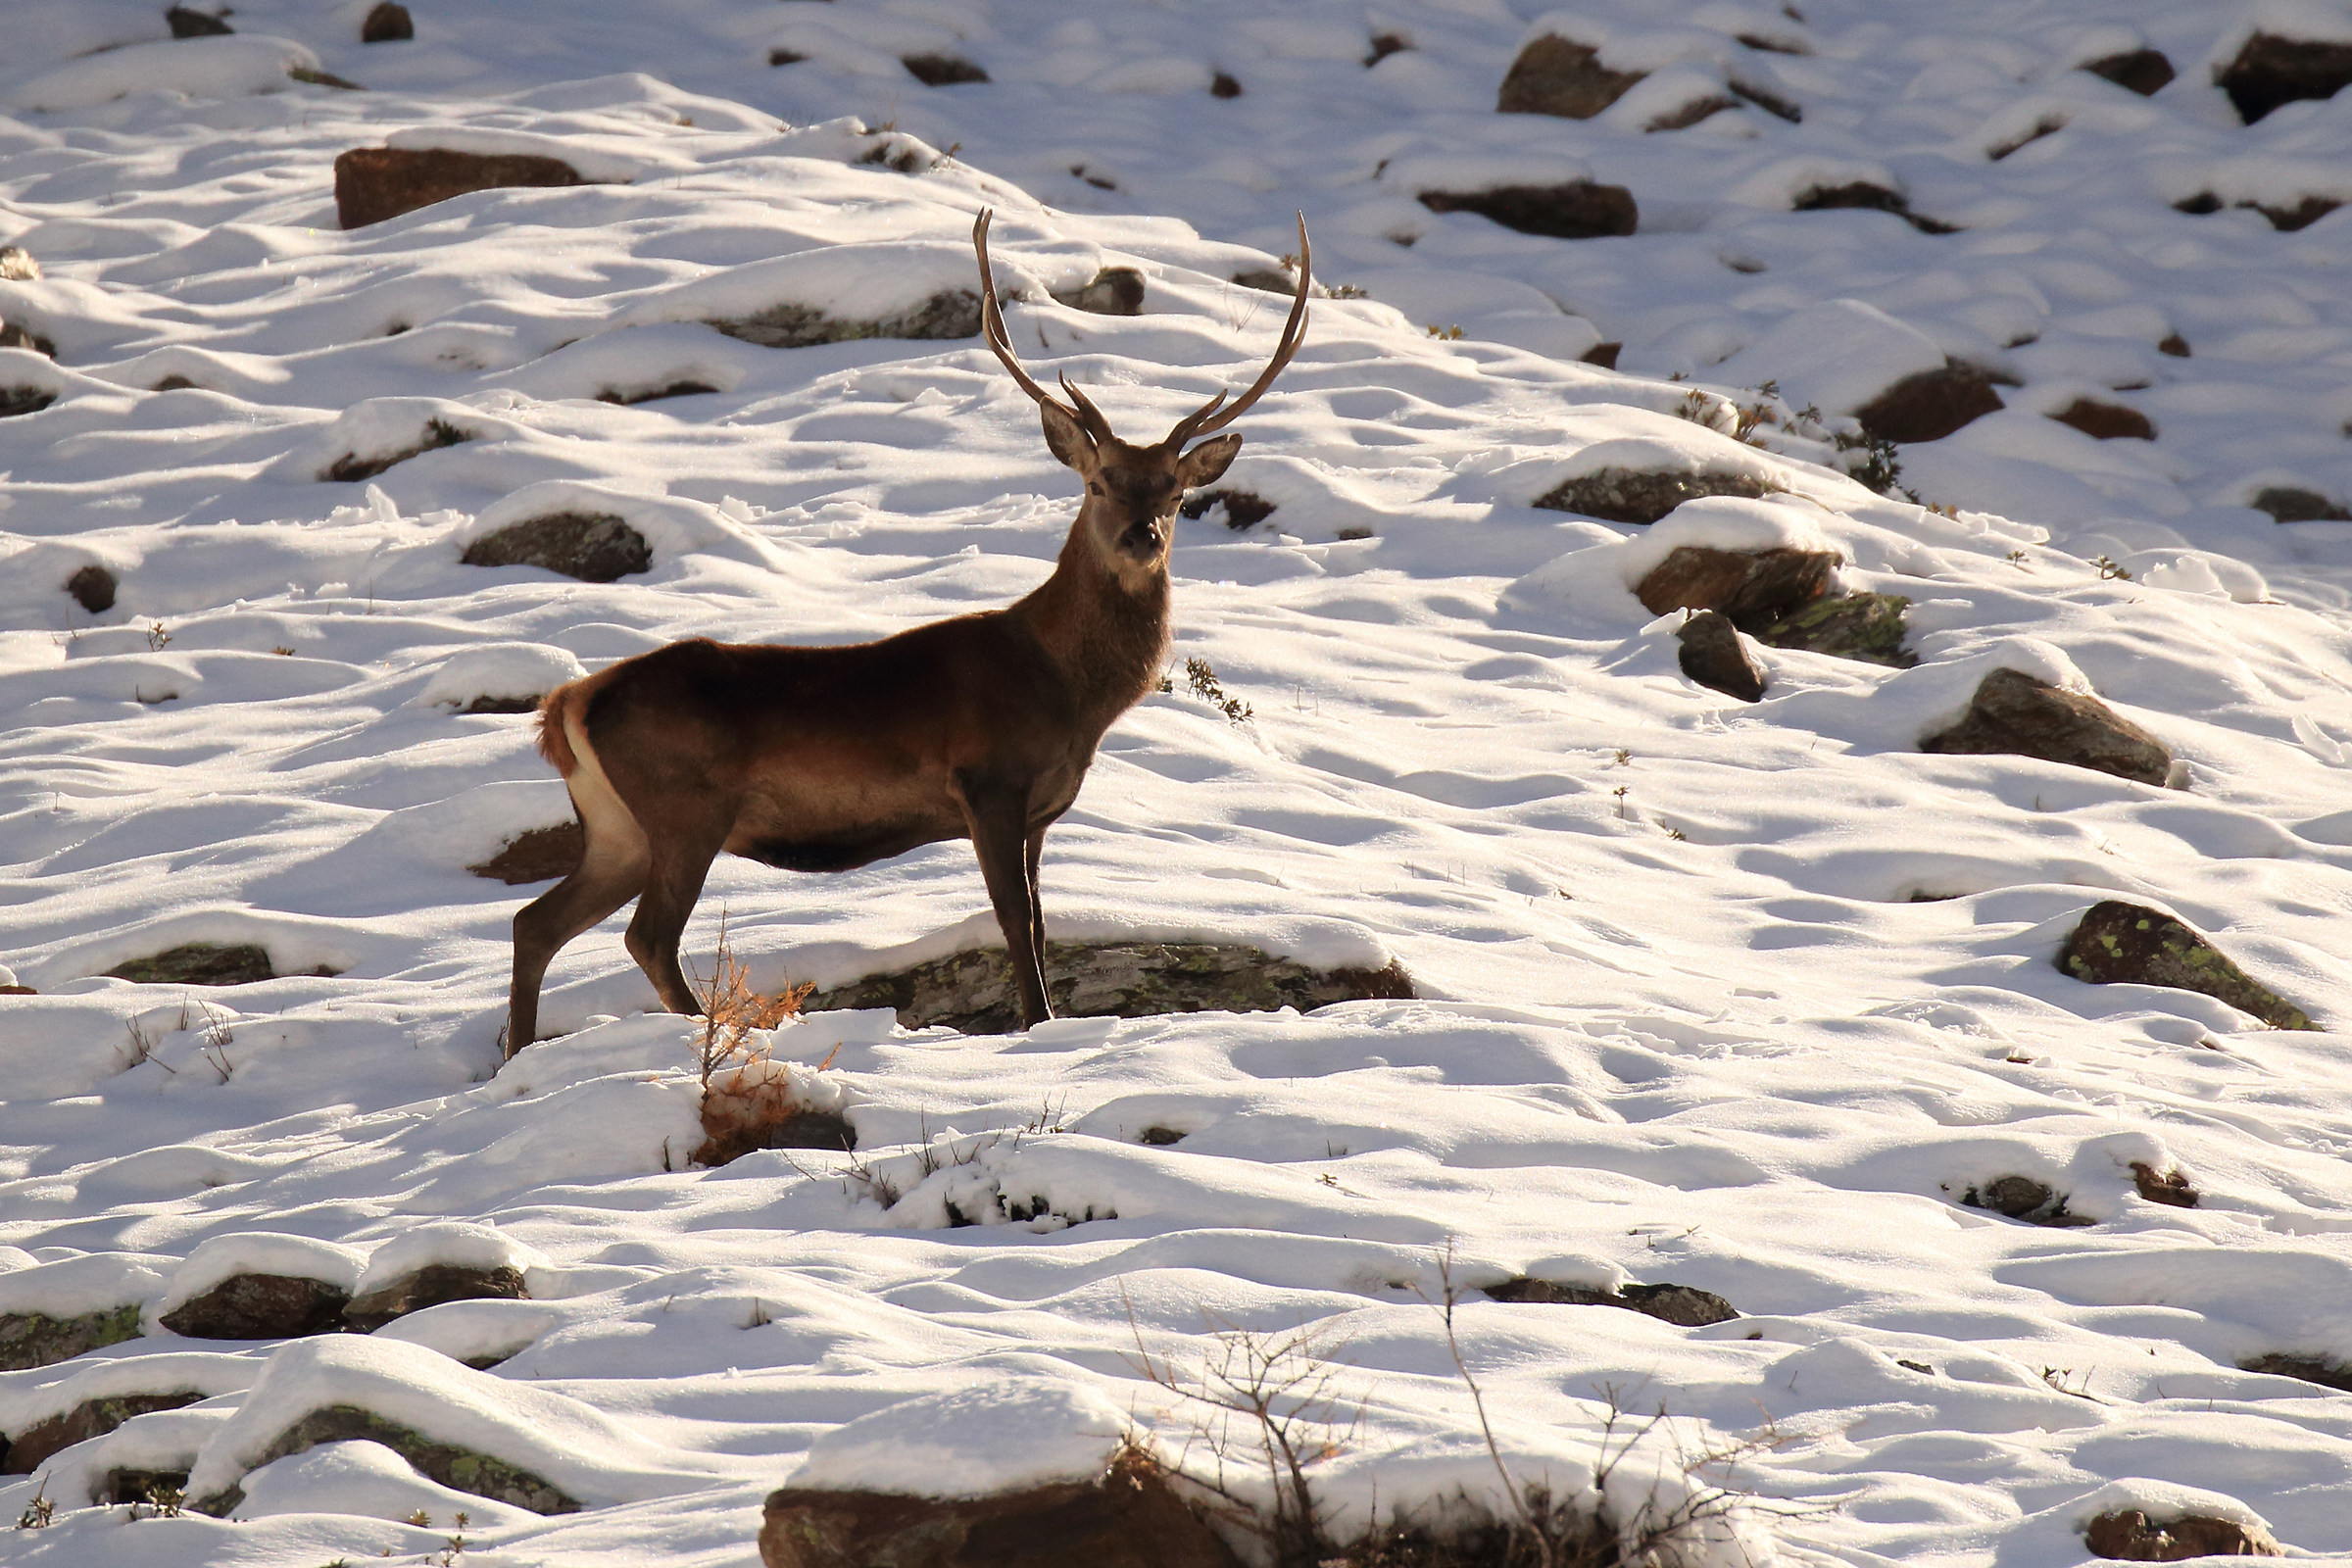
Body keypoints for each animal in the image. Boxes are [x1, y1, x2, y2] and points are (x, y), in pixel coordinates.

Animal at [501, 209, 1313, 1056]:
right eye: (1098, 484)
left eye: (1176, 492)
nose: (1140, 536)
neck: (1068, 693)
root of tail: (569, 704)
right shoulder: (986, 780)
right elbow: (1014, 922)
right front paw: (1038, 1024)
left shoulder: (1039, 810)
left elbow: (1041, 923)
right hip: (684, 809)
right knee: (646, 936)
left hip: (617, 826)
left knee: (535, 922)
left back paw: (516, 1056)